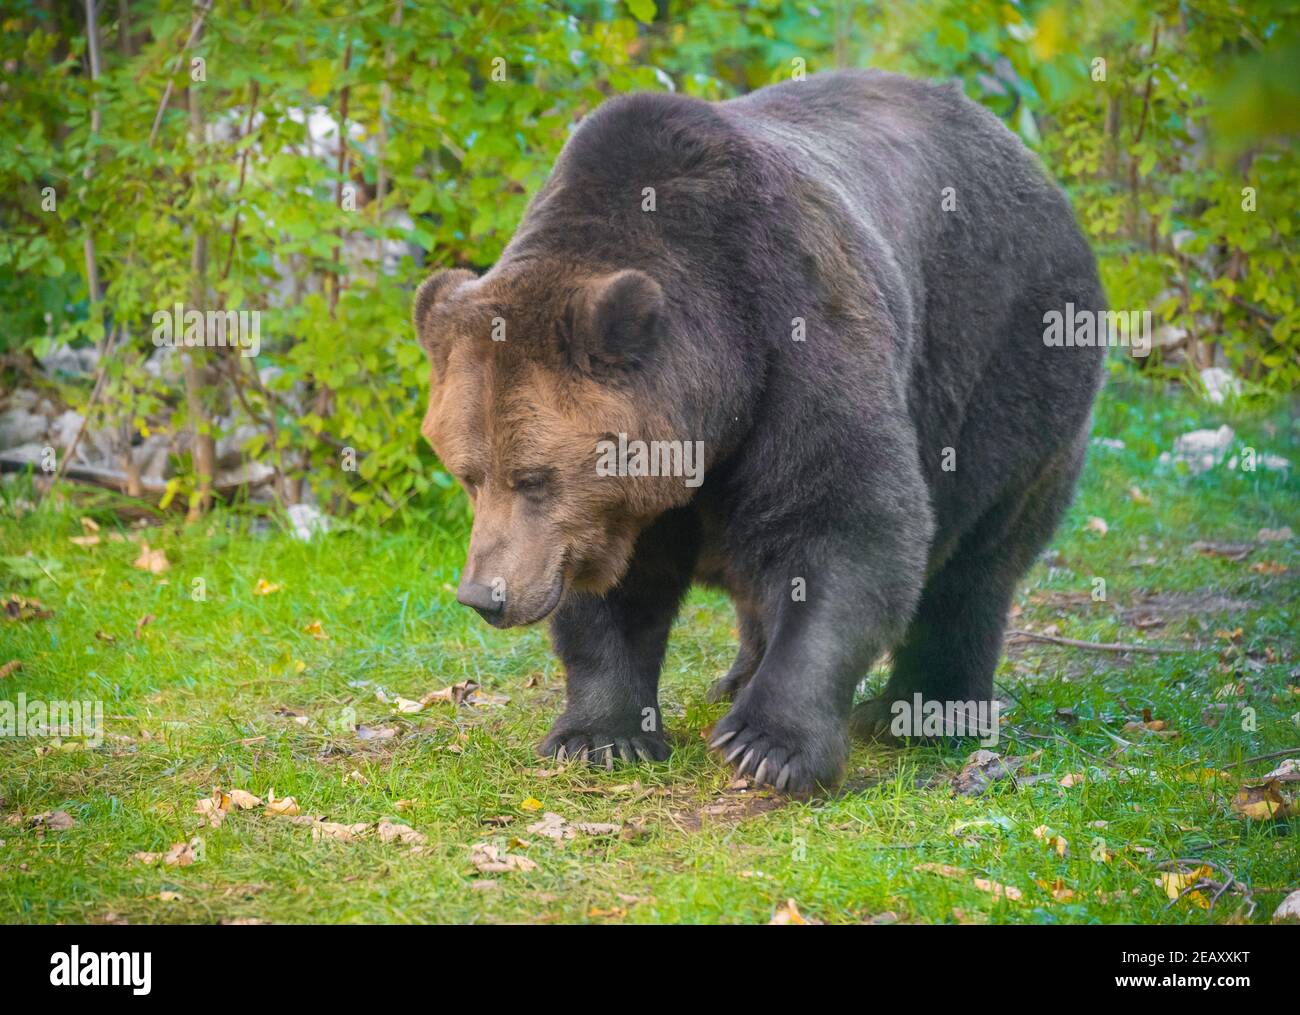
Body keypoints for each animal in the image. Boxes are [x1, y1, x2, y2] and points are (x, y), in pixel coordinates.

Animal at [410, 69, 1102, 790]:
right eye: (468, 474)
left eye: (533, 477)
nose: (484, 595)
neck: (717, 393)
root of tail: (1025, 155)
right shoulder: (621, 505)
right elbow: (610, 591)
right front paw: (600, 735)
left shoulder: (795, 333)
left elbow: (849, 523)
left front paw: (769, 745)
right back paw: (738, 676)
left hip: (1004, 356)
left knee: (976, 560)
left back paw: (922, 710)